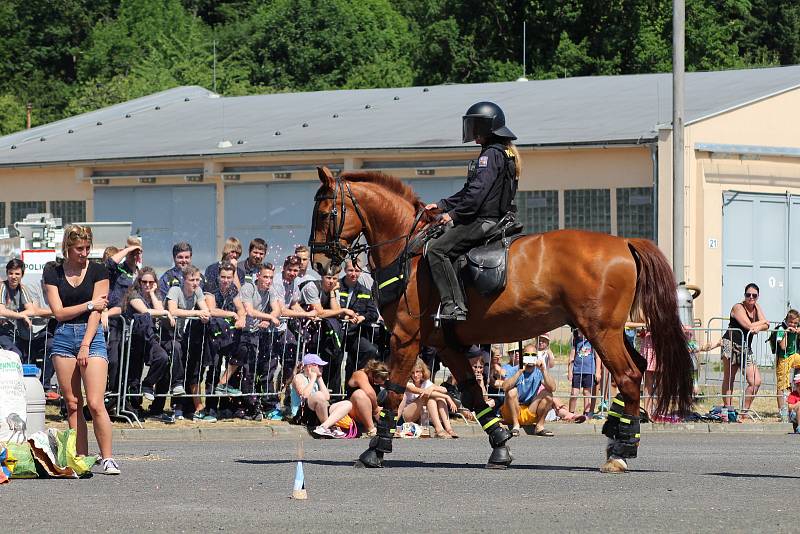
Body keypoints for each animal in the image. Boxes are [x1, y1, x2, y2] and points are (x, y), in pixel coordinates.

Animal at [310, 166, 692, 474]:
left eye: (326, 213)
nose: (319, 263)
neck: (411, 252)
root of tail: (624, 242)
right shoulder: (446, 345)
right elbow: (474, 393)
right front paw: (500, 445)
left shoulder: (406, 339)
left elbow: (391, 393)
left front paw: (375, 450)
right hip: (611, 331)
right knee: (638, 369)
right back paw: (617, 436)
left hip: (601, 331)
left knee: (628, 376)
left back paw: (622, 449)